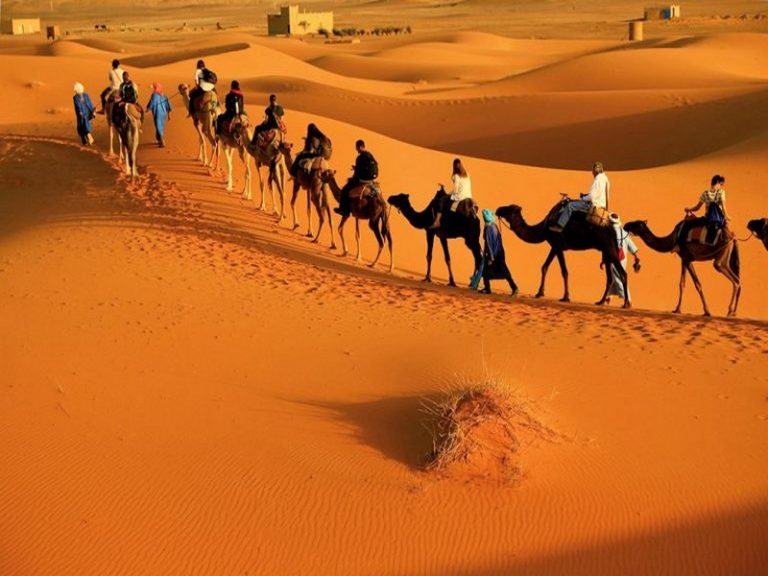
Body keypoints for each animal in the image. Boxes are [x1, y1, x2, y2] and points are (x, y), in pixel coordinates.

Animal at [496, 202, 628, 307]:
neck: (545, 226)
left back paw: (626, 304)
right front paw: (539, 293)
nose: (498, 209)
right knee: (609, 278)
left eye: (509, 209)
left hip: (609, 249)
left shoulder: (558, 246)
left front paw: (565, 297)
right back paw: (600, 301)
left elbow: (564, 271)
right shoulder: (554, 246)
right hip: (606, 252)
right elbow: (544, 267)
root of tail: (612, 228)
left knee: (623, 273)